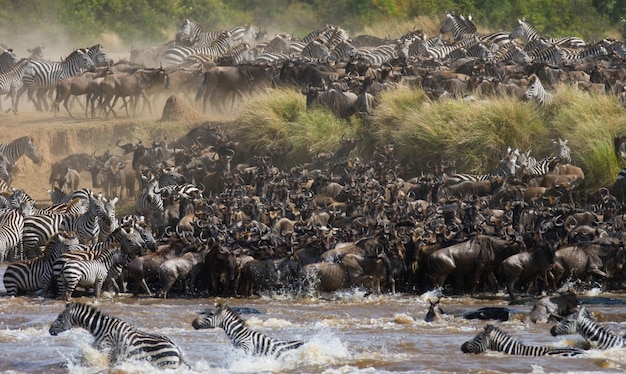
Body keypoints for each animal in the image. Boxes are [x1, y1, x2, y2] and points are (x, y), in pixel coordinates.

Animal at [49, 300, 184, 368]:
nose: (49, 331)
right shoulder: (103, 349)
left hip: (165, 365)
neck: (100, 328)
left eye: (60, 318)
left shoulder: (108, 347)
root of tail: (177, 349)